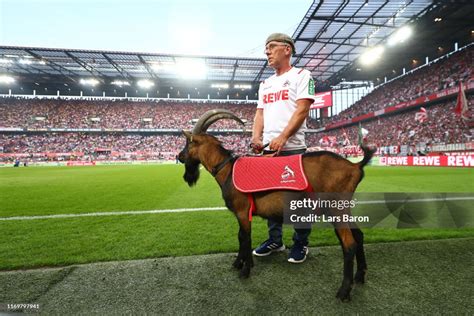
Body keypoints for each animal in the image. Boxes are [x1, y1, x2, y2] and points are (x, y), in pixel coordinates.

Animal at [180, 109, 376, 302]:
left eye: (189, 142)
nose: (178, 156)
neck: (227, 169)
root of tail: (355, 166)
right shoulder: (242, 214)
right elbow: (241, 236)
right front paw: (239, 263)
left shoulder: (243, 211)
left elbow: (245, 238)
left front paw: (244, 270)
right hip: (345, 209)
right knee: (359, 235)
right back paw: (360, 275)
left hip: (335, 209)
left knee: (349, 244)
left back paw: (344, 291)